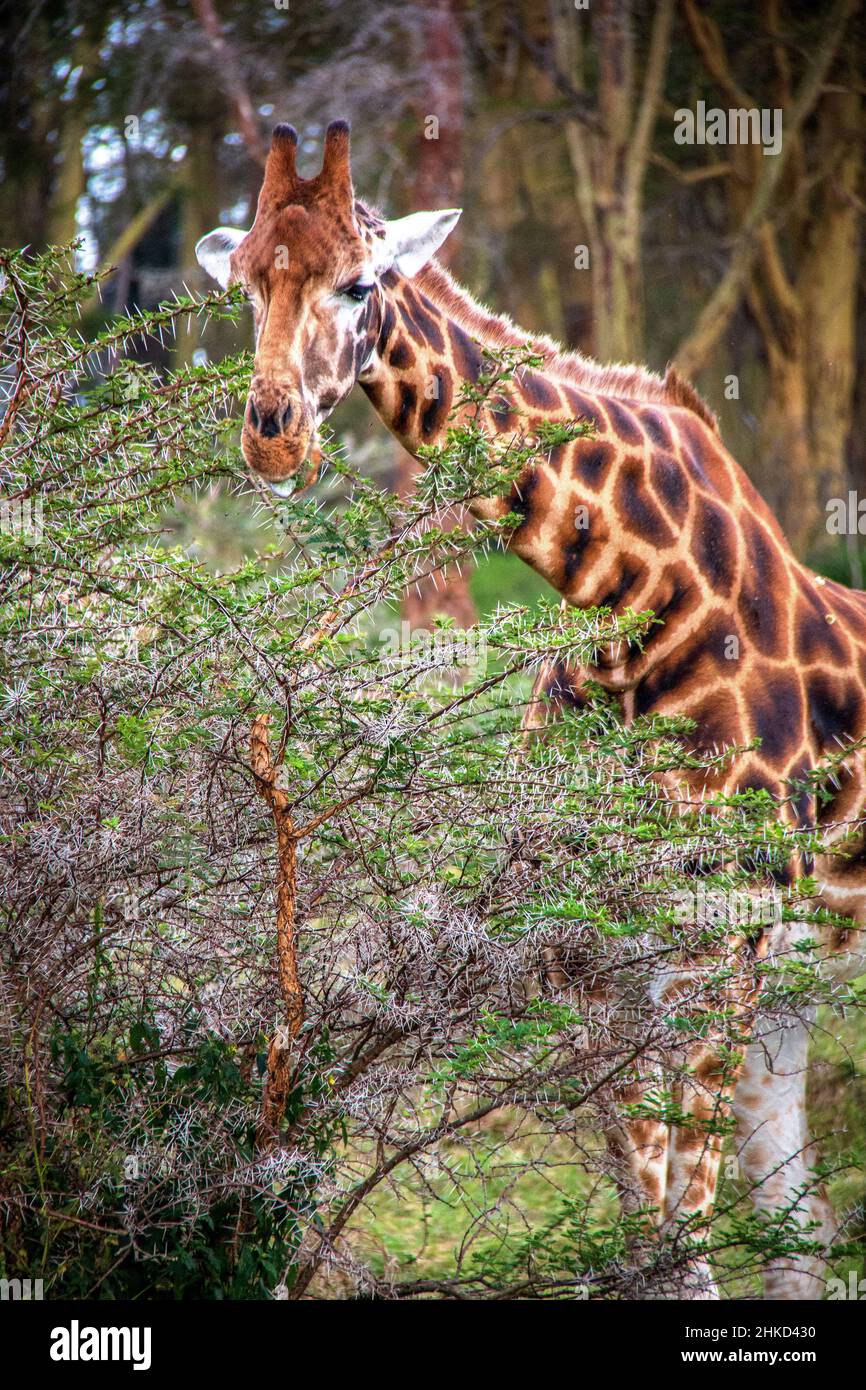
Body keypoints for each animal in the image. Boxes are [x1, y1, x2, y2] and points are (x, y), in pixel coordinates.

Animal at [198, 122, 866, 1301]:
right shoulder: (598, 966)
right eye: (241, 286)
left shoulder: (711, 955)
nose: (271, 436)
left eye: (358, 281)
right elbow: (645, 1240)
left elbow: (680, 1252)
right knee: (803, 1233)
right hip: (789, 992)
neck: (631, 608)